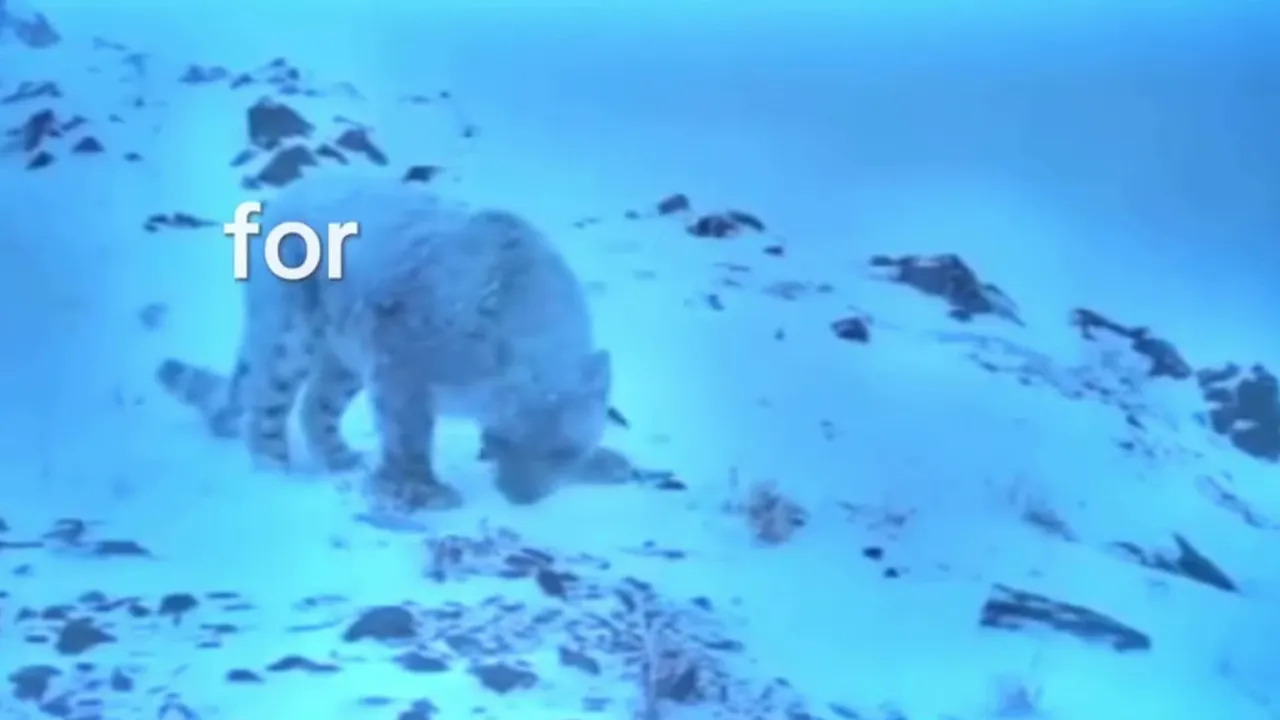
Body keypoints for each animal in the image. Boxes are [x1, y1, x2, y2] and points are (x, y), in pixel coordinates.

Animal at [156, 172, 614, 512]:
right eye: (503, 440)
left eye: (562, 451)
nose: (520, 496)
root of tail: (292, 189)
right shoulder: (401, 357)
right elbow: (407, 429)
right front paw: (421, 489)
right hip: (292, 330)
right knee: (265, 398)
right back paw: (276, 472)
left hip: (344, 355)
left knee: (316, 403)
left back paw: (341, 459)